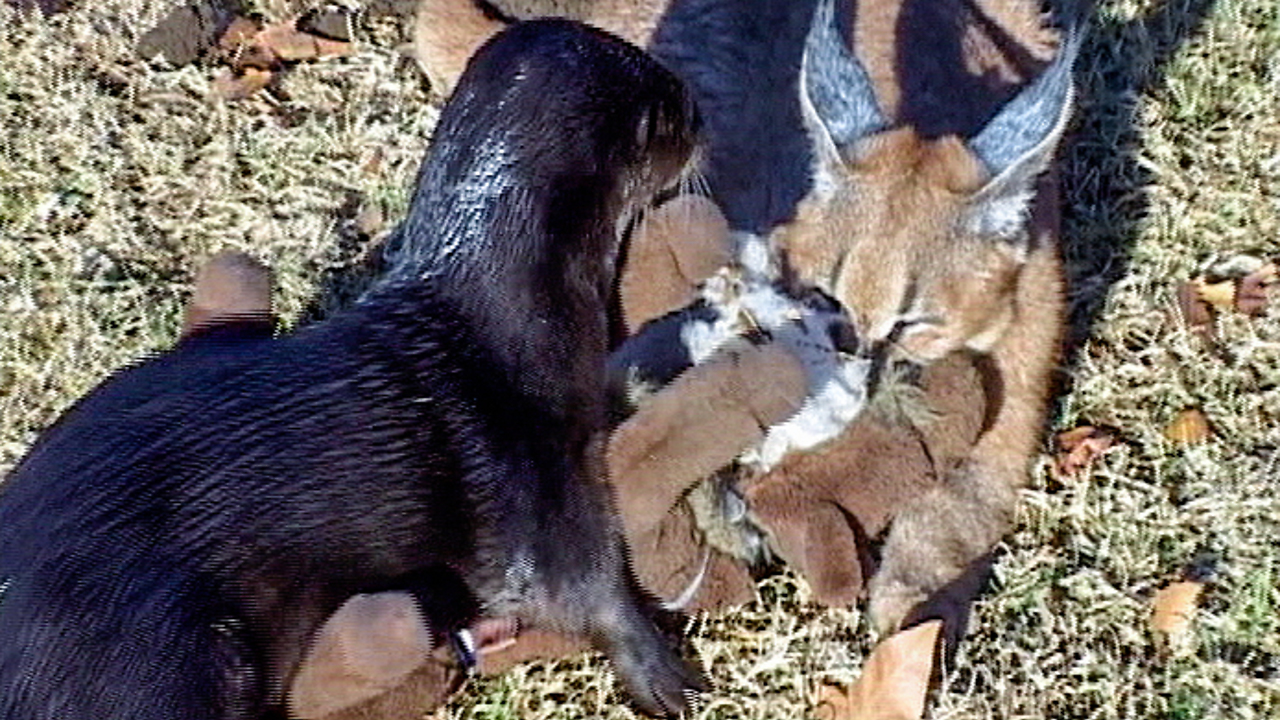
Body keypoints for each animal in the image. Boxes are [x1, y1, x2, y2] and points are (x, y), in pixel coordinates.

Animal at [0, 18, 701, 717]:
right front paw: (663, 670)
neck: (513, 319)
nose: (700, 114)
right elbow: (575, 585)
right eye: (671, 105)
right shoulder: (523, 467)